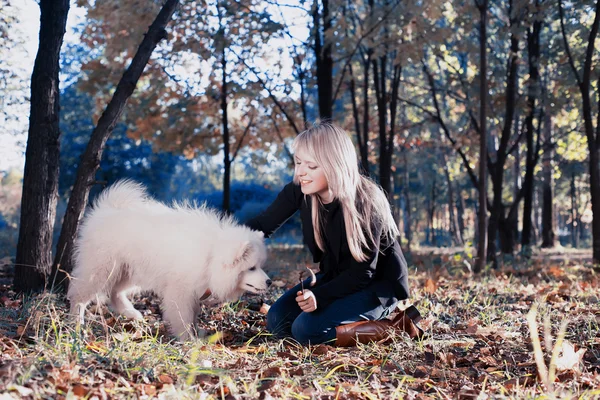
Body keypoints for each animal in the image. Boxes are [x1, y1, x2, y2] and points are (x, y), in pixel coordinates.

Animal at [67, 181, 270, 340]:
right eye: (251, 268)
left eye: (261, 266)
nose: (269, 281)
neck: (211, 254)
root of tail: (105, 211)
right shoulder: (181, 291)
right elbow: (183, 317)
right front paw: (188, 339)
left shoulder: (193, 290)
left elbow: (193, 315)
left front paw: (197, 333)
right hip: (102, 269)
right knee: (79, 295)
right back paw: (76, 323)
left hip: (130, 271)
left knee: (115, 292)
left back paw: (131, 313)